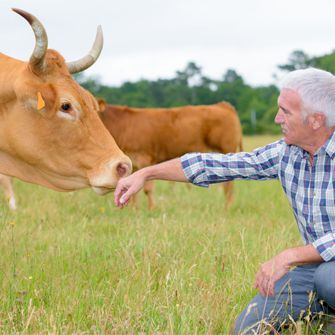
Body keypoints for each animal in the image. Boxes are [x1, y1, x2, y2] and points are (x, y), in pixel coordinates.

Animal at [98, 100, 243, 210]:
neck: (124, 125)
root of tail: (222, 105)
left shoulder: (145, 159)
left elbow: (147, 189)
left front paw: (151, 209)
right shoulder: (133, 164)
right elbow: (133, 191)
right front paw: (134, 209)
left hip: (225, 149)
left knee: (229, 185)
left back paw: (227, 207)